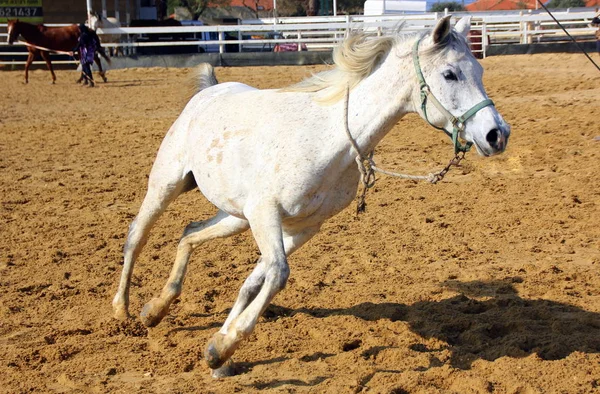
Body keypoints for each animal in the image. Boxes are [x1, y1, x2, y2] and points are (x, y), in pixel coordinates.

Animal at [112, 16, 510, 378]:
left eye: (479, 69)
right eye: (450, 74)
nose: (497, 134)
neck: (329, 139)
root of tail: (208, 92)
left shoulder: (301, 227)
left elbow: (256, 281)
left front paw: (218, 351)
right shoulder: (266, 213)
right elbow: (277, 274)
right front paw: (223, 347)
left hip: (236, 217)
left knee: (190, 232)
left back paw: (156, 309)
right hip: (166, 185)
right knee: (137, 235)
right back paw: (122, 312)